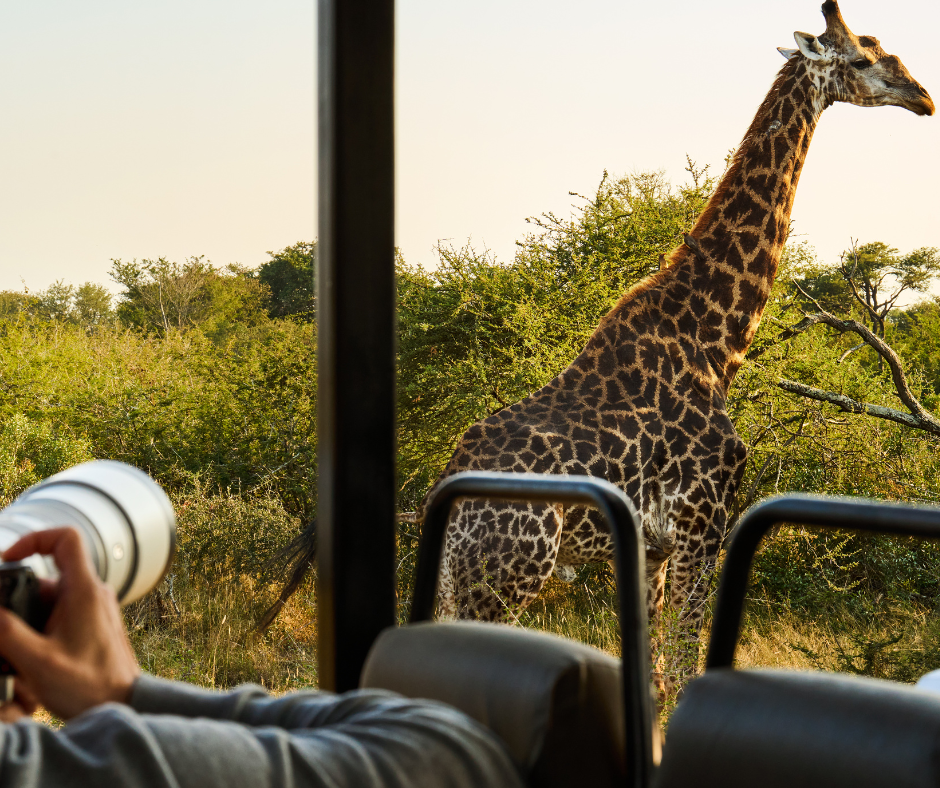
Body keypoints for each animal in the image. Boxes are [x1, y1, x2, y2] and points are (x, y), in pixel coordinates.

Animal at [414, 2, 934, 655]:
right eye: (865, 58)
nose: (922, 97)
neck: (715, 340)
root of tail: (449, 507)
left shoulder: (654, 548)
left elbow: (658, 665)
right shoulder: (701, 525)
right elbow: (686, 657)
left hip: (468, 580)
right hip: (506, 575)